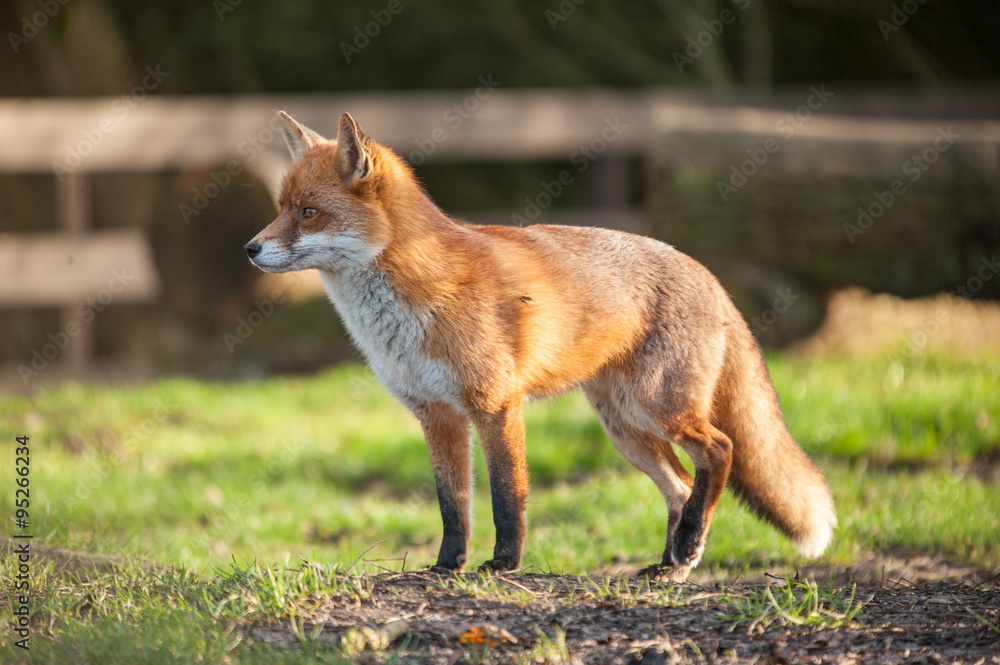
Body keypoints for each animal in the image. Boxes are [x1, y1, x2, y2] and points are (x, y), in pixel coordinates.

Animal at [244, 111, 836, 581]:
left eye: (308, 212)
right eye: (279, 207)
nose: (249, 248)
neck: (411, 304)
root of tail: (707, 271)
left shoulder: (496, 404)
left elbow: (508, 497)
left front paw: (504, 564)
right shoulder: (436, 414)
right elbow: (452, 505)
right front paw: (446, 568)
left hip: (658, 407)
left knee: (720, 450)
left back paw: (686, 547)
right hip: (626, 430)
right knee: (681, 484)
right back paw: (673, 565)